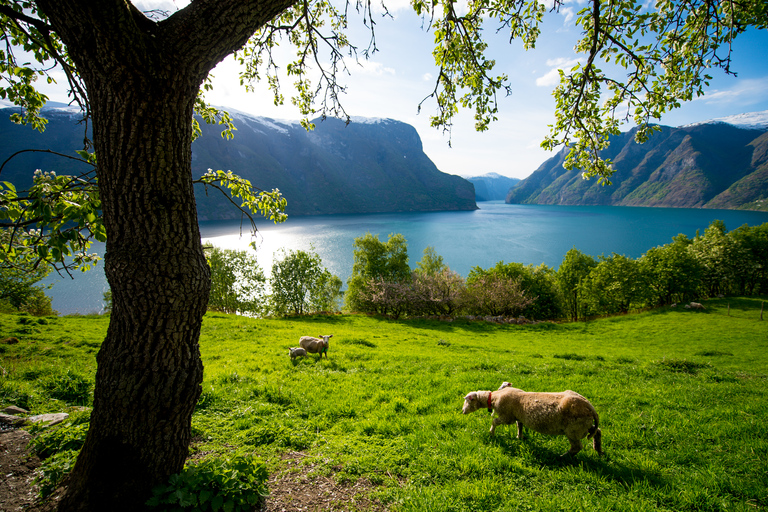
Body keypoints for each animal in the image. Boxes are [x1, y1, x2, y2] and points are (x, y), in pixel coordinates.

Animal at [464, 384, 604, 456]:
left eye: (467, 401)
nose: (463, 411)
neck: (493, 398)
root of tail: (589, 406)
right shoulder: (518, 416)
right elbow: (519, 425)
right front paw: (519, 437)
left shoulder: (507, 417)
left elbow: (494, 422)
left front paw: (491, 433)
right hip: (584, 424)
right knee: (597, 432)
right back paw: (598, 449)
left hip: (573, 429)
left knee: (576, 447)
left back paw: (563, 457)